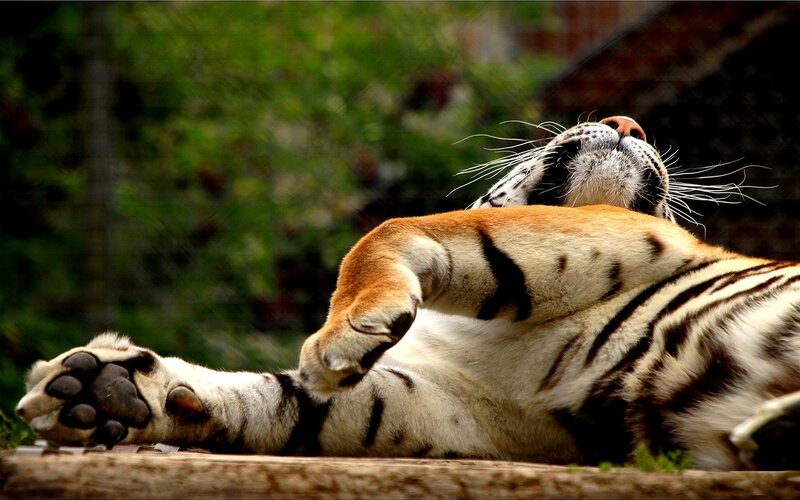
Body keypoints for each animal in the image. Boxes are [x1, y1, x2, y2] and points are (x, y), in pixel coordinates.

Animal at [15, 116, 798, 471]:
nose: (627, 122)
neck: (481, 332)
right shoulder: (477, 414)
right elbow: (285, 398)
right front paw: (101, 394)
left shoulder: (622, 233)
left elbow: (391, 228)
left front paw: (346, 331)